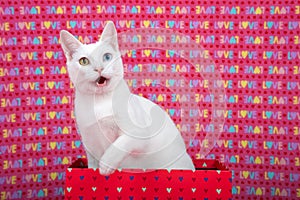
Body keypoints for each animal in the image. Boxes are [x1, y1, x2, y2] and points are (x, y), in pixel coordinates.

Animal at [59, 21, 195, 175]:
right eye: (83, 61)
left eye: (107, 57)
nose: (99, 68)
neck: (100, 101)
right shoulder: (89, 141)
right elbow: (92, 163)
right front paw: (95, 169)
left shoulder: (139, 133)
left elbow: (118, 144)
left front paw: (105, 165)